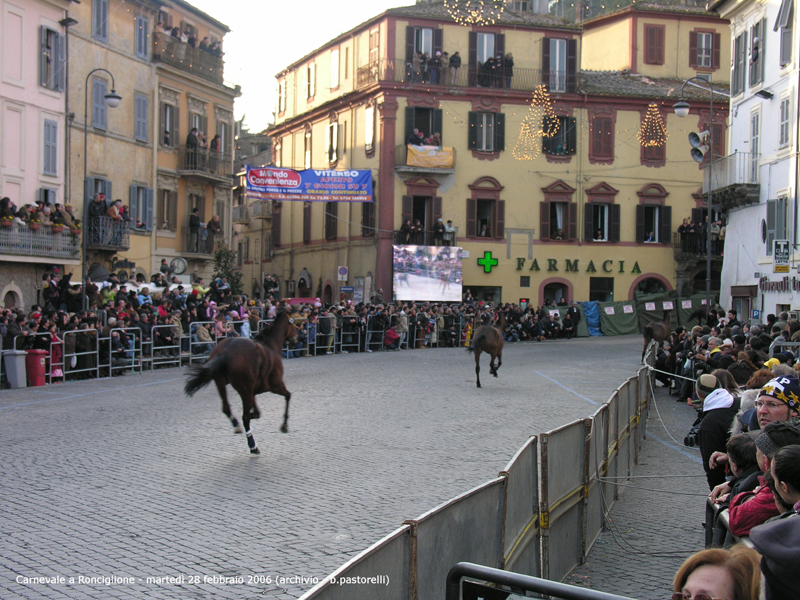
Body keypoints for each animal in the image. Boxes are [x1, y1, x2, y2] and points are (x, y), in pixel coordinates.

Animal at [184, 312, 296, 452]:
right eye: (294, 325)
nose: (296, 338)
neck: (270, 346)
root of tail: (225, 352)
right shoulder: (276, 386)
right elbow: (288, 396)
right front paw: (284, 425)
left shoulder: (252, 391)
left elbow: (257, 412)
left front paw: (254, 413)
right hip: (244, 390)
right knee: (245, 418)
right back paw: (253, 445)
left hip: (222, 384)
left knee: (226, 409)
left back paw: (237, 425)